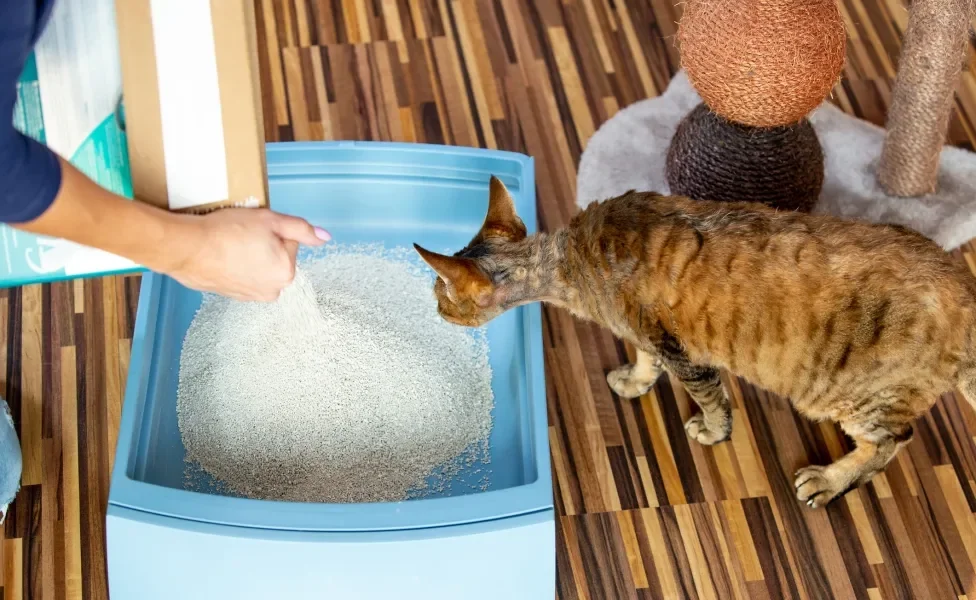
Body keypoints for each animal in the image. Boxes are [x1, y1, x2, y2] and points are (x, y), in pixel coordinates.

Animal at [414, 176, 976, 508]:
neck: (571, 261)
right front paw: (634, 381)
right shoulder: (646, 334)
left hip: (852, 397)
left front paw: (711, 431)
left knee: (892, 441)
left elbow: (711, 400)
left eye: (441, 297)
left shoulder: (682, 353)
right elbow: (643, 361)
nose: (432, 307)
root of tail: (964, 287)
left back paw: (829, 481)